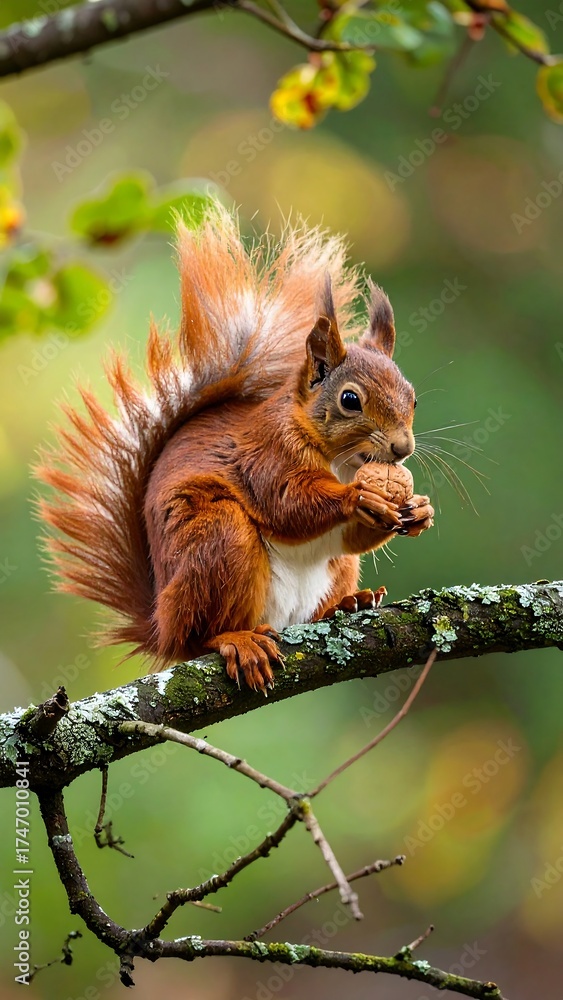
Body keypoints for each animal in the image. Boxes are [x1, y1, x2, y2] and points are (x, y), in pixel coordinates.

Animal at [37, 205, 434, 694]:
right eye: (350, 400)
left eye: (413, 399)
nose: (402, 448)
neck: (343, 462)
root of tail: (160, 624)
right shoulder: (266, 454)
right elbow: (287, 503)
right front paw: (358, 497)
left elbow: (349, 535)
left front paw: (419, 510)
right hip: (219, 539)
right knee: (199, 637)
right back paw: (237, 640)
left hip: (332, 570)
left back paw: (346, 604)